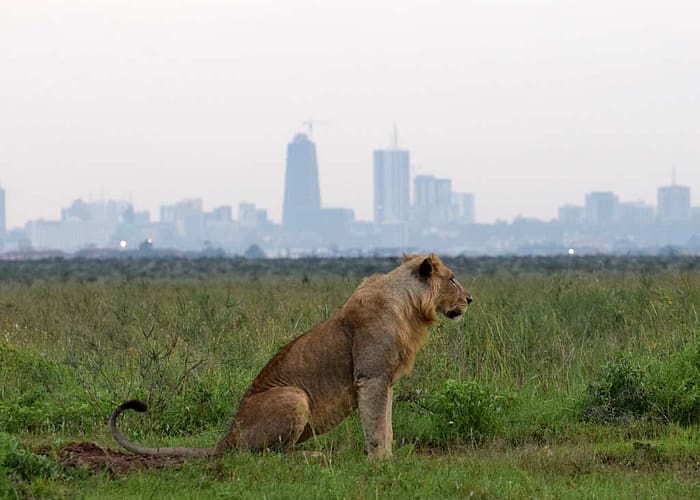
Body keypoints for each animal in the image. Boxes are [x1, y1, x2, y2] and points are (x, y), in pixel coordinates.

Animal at [110, 253, 472, 460]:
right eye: (452, 278)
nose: (470, 298)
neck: (409, 307)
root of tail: (228, 435)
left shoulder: (385, 381)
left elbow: (387, 424)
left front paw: (387, 458)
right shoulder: (372, 377)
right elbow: (377, 426)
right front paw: (380, 464)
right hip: (294, 395)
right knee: (270, 457)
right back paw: (311, 456)